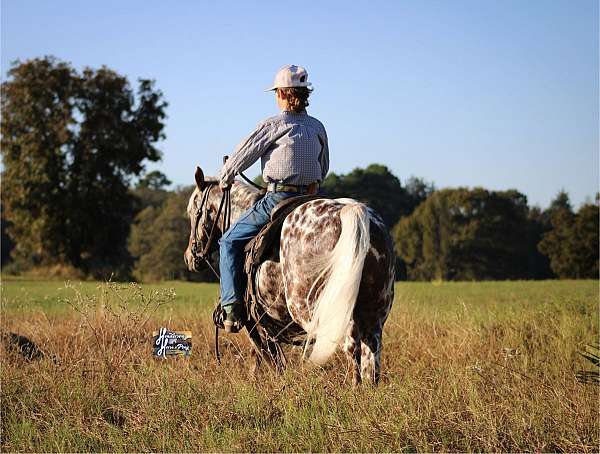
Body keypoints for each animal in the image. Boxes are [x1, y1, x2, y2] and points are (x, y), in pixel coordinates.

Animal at [185, 168, 396, 384]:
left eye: (193, 212)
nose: (190, 257)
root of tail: (352, 211)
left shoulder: (255, 323)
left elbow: (266, 357)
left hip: (316, 311)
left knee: (351, 348)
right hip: (375, 314)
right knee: (371, 356)